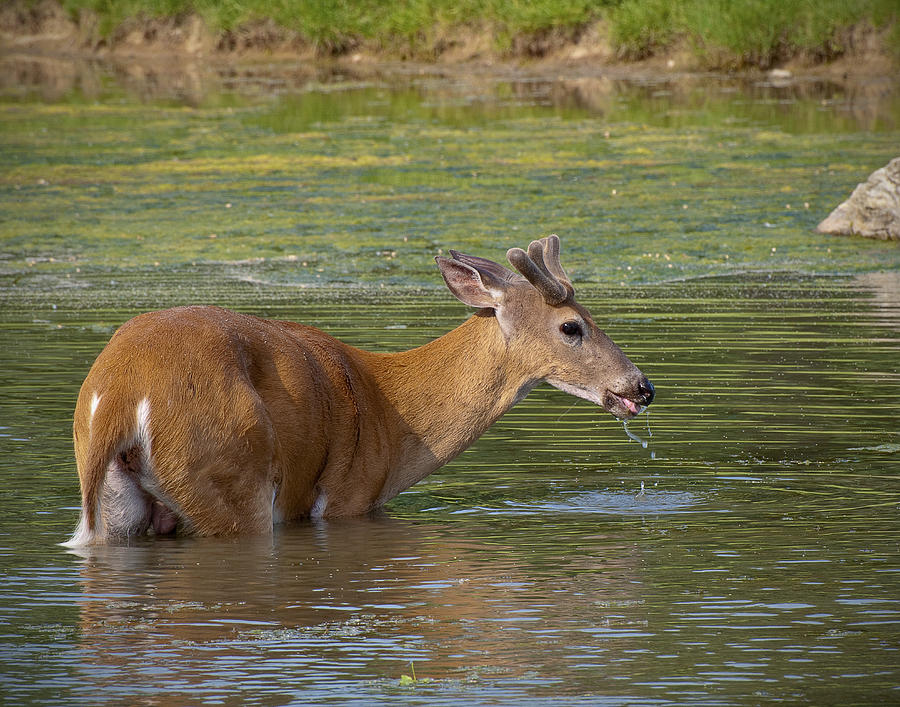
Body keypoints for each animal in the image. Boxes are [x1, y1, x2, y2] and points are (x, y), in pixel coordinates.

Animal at [63, 238, 652, 548]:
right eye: (573, 326)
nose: (641, 387)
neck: (393, 413)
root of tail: (121, 392)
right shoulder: (348, 499)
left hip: (112, 505)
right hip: (227, 471)